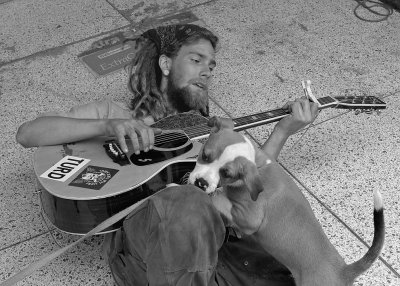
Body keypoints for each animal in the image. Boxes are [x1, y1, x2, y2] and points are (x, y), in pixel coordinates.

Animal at [189, 116, 386, 286]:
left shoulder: (250, 218)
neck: (257, 163)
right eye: (204, 155)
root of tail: (343, 271)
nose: (201, 183)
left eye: (226, 174)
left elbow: (219, 198)